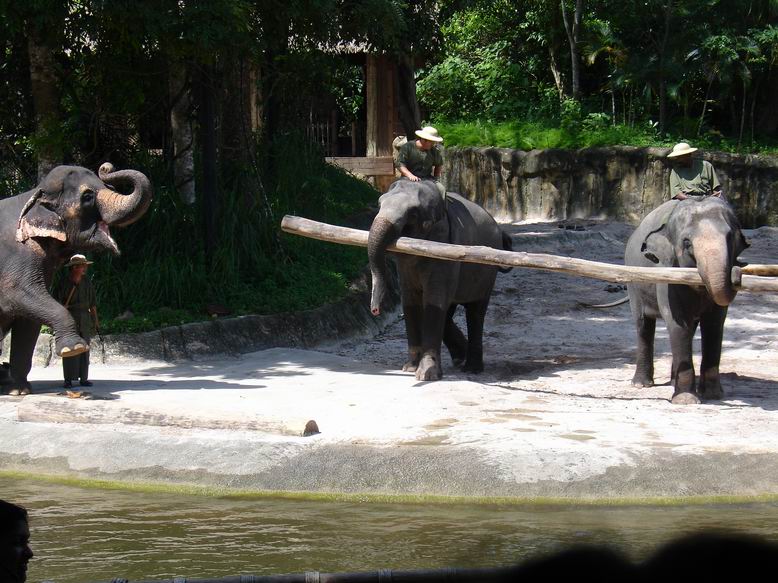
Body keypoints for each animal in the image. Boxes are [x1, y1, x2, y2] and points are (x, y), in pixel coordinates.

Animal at [0, 162, 152, 394]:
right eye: (88, 196)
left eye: (106, 185)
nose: (106, 167)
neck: (32, 195)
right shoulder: (16, 257)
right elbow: (20, 296)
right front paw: (74, 348)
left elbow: (29, 320)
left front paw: (20, 390)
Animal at [368, 180, 512, 386]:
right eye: (380, 204)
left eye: (413, 213)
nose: (375, 310)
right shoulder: (405, 267)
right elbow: (411, 301)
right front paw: (409, 368)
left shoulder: (445, 248)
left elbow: (434, 302)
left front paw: (426, 375)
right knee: (449, 312)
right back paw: (460, 358)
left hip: (487, 273)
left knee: (475, 312)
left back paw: (472, 368)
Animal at [624, 196, 744, 406]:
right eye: (687, 243)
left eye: (730, 237)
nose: (736, 273)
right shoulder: (668, 271)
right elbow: (677, 323)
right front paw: (686, 400)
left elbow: (714, 324)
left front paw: (713, 395)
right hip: (634, 283)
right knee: (643, 325)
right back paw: (641, 384)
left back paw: (673, 382)